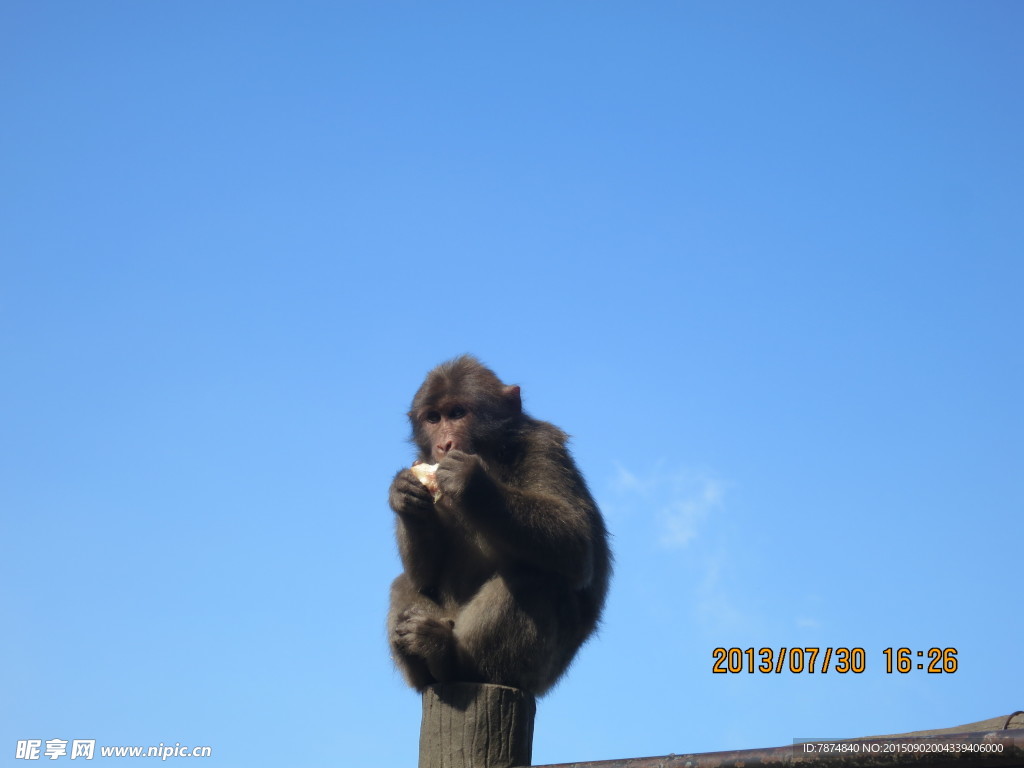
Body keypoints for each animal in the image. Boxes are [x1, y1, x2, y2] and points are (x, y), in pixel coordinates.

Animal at [385, 354, 606, 696]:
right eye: (433, 418)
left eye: (457, 413)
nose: (444, 445)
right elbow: (425, 575)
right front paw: (403, 493)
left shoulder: (543, 446)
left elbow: (578, 546)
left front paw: (471, 482)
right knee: (405, 583)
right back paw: (429, 664)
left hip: (535, 672)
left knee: (532, 576)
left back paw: (448, 656)